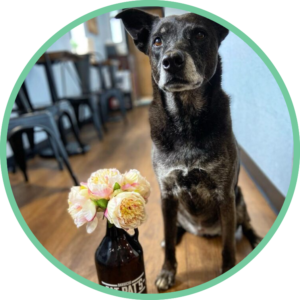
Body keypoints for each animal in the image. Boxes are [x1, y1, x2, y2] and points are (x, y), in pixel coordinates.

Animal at [116, 8, 262, 290]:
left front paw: (227, 268)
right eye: (157, 41)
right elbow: (169, 238)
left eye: (200, 34)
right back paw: (170, 238)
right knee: (173, 230)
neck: (185, 120)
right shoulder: (167, 195)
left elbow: (228, 246)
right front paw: (167, 270)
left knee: (245, 224)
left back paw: (256, 238)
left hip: (239, 199)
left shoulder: (225, 196)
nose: (171, 61)